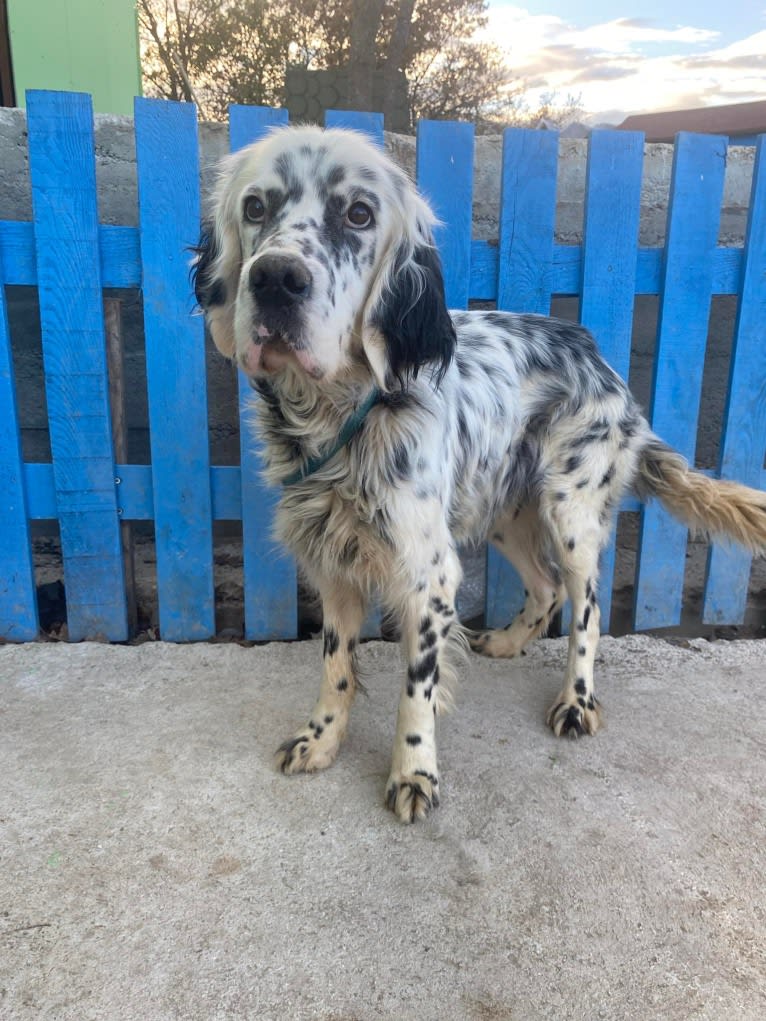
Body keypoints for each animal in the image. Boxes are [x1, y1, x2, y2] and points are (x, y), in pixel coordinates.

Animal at [192, 123, 766, 824]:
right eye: (255, 207)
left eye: (358, 214)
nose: (275, 278)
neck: (348, 414)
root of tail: (603, 362)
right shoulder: (332, 563)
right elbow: (336, 667)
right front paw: (321, 739)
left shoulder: (429, 572)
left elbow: (415, 687)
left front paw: (414, 771)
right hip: (504, 514)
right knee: (544, 590)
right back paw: (509, 643)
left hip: (570, 513)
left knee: (585, 605)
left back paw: (577, 700)